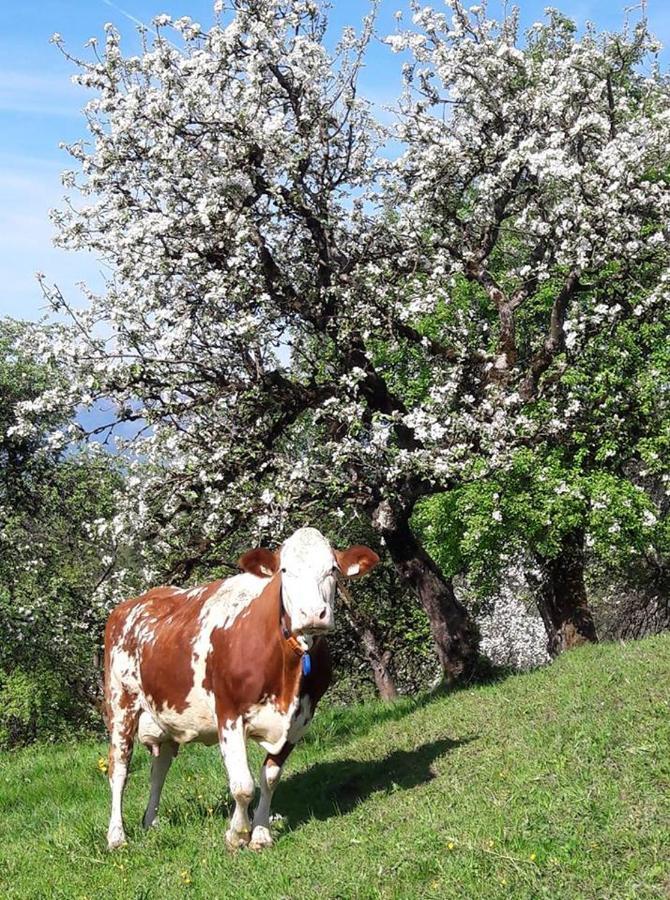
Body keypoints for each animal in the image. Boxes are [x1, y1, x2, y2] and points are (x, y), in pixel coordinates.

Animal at [103, 524, 380, 848]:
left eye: (333, 569)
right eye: (284, 570)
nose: (313, 614)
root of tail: (130, 605)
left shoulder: (300, 719)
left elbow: (270, 778)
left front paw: (260, 833)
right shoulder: (229, 713)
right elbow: (243, 785)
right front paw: (237, 834)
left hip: (167, 716)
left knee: (158, 770)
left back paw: (151, 822)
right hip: (120, 705)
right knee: (119, 769)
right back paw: (116, 836)